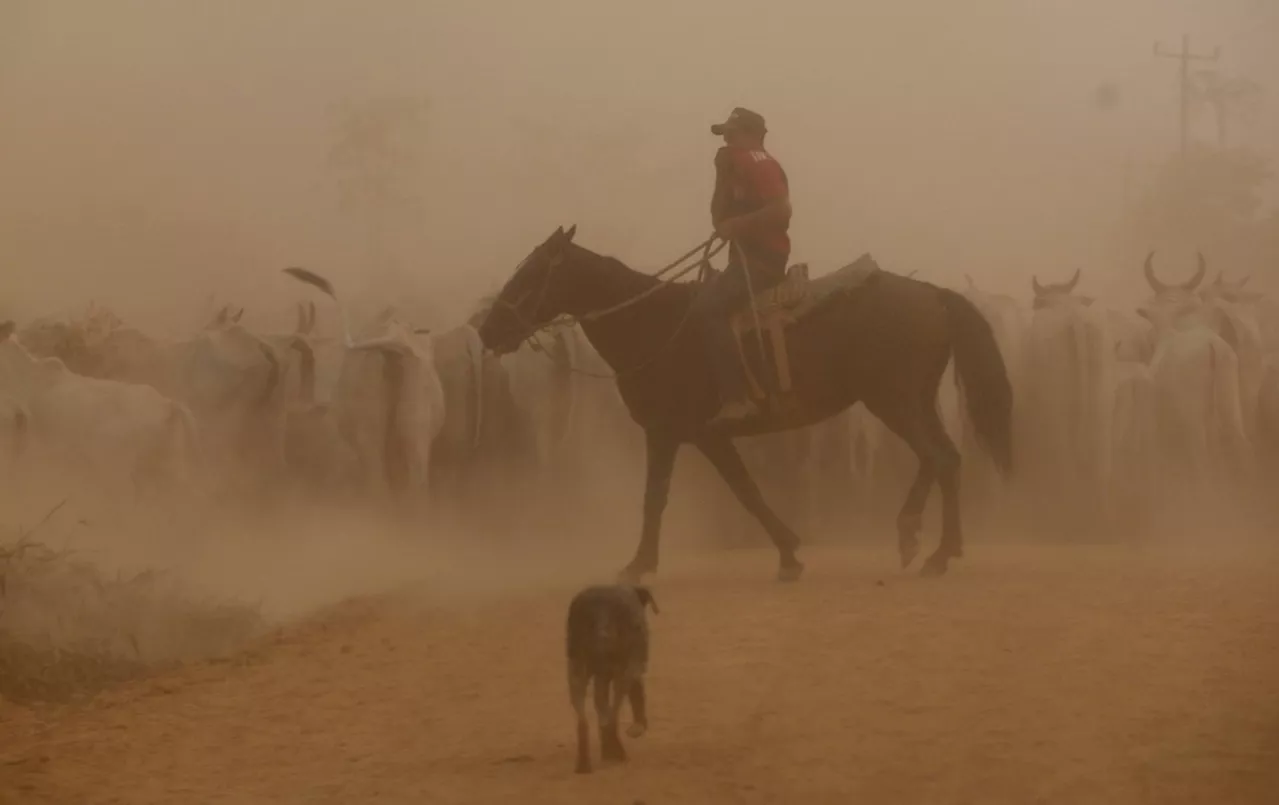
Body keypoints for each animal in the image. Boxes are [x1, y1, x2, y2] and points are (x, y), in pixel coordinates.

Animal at [476, 223, 1013, 578]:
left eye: (532, 274)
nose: (487, 329)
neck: (655, 324)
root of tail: (933, 294)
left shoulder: (676, 433)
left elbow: (676, 496)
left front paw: (640, 563)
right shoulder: (698, 437)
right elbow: (736, 491)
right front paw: (788, 551)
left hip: (895, 401)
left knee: (938, 458)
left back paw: (931, 546)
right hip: (912, 401)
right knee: (943, 458)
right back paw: (922, 540)